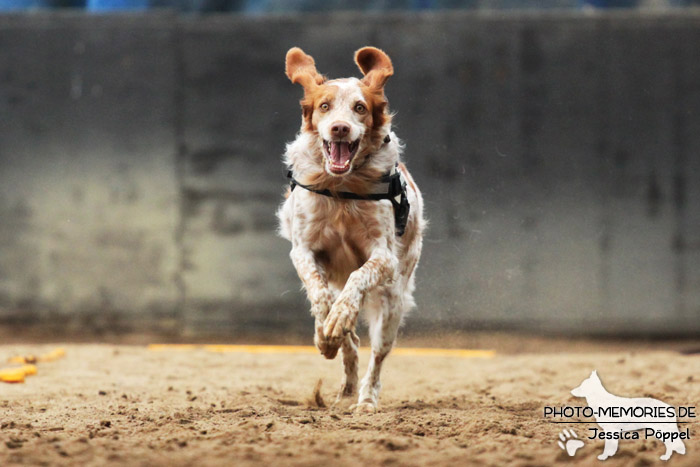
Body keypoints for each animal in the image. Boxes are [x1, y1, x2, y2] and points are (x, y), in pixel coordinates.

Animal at [276, 47, 424, 414]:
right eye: (324, 106)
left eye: (360, 107)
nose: (340, 128)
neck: (342, 189)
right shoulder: (303, 250)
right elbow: (321, 296)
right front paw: (325, 332)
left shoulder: (383, 257)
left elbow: (357, 279)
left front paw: (338, 318)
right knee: (350, 341)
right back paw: (342, 379)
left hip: (393, 303)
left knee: (377, 357)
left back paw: (365, 400)